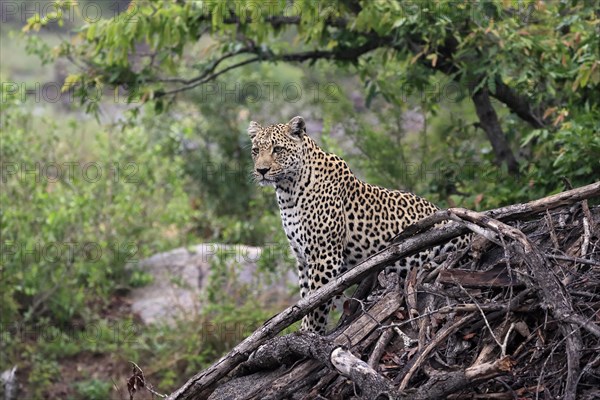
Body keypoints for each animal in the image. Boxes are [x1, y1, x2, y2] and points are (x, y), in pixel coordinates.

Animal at [247, 115, 468, 334]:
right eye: (256, 150)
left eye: (277, 149)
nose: (262, 170)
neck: (287, 191)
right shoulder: (302, 259)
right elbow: (305, 299)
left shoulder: (325, 255)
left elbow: (316, 305)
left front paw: (309, 334)